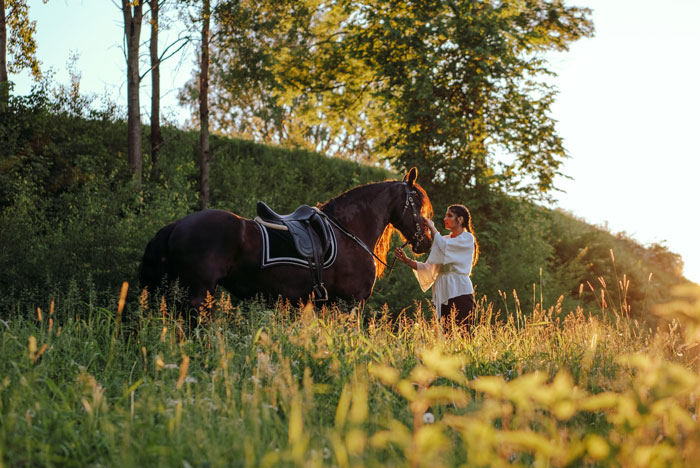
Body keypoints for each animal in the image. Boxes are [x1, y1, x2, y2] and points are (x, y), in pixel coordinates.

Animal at [138, 168, 434, 314]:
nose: (427, 243)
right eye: (418, 204)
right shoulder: (352, 302)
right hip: (198, 294)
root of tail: (177, 225)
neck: (348, 232)